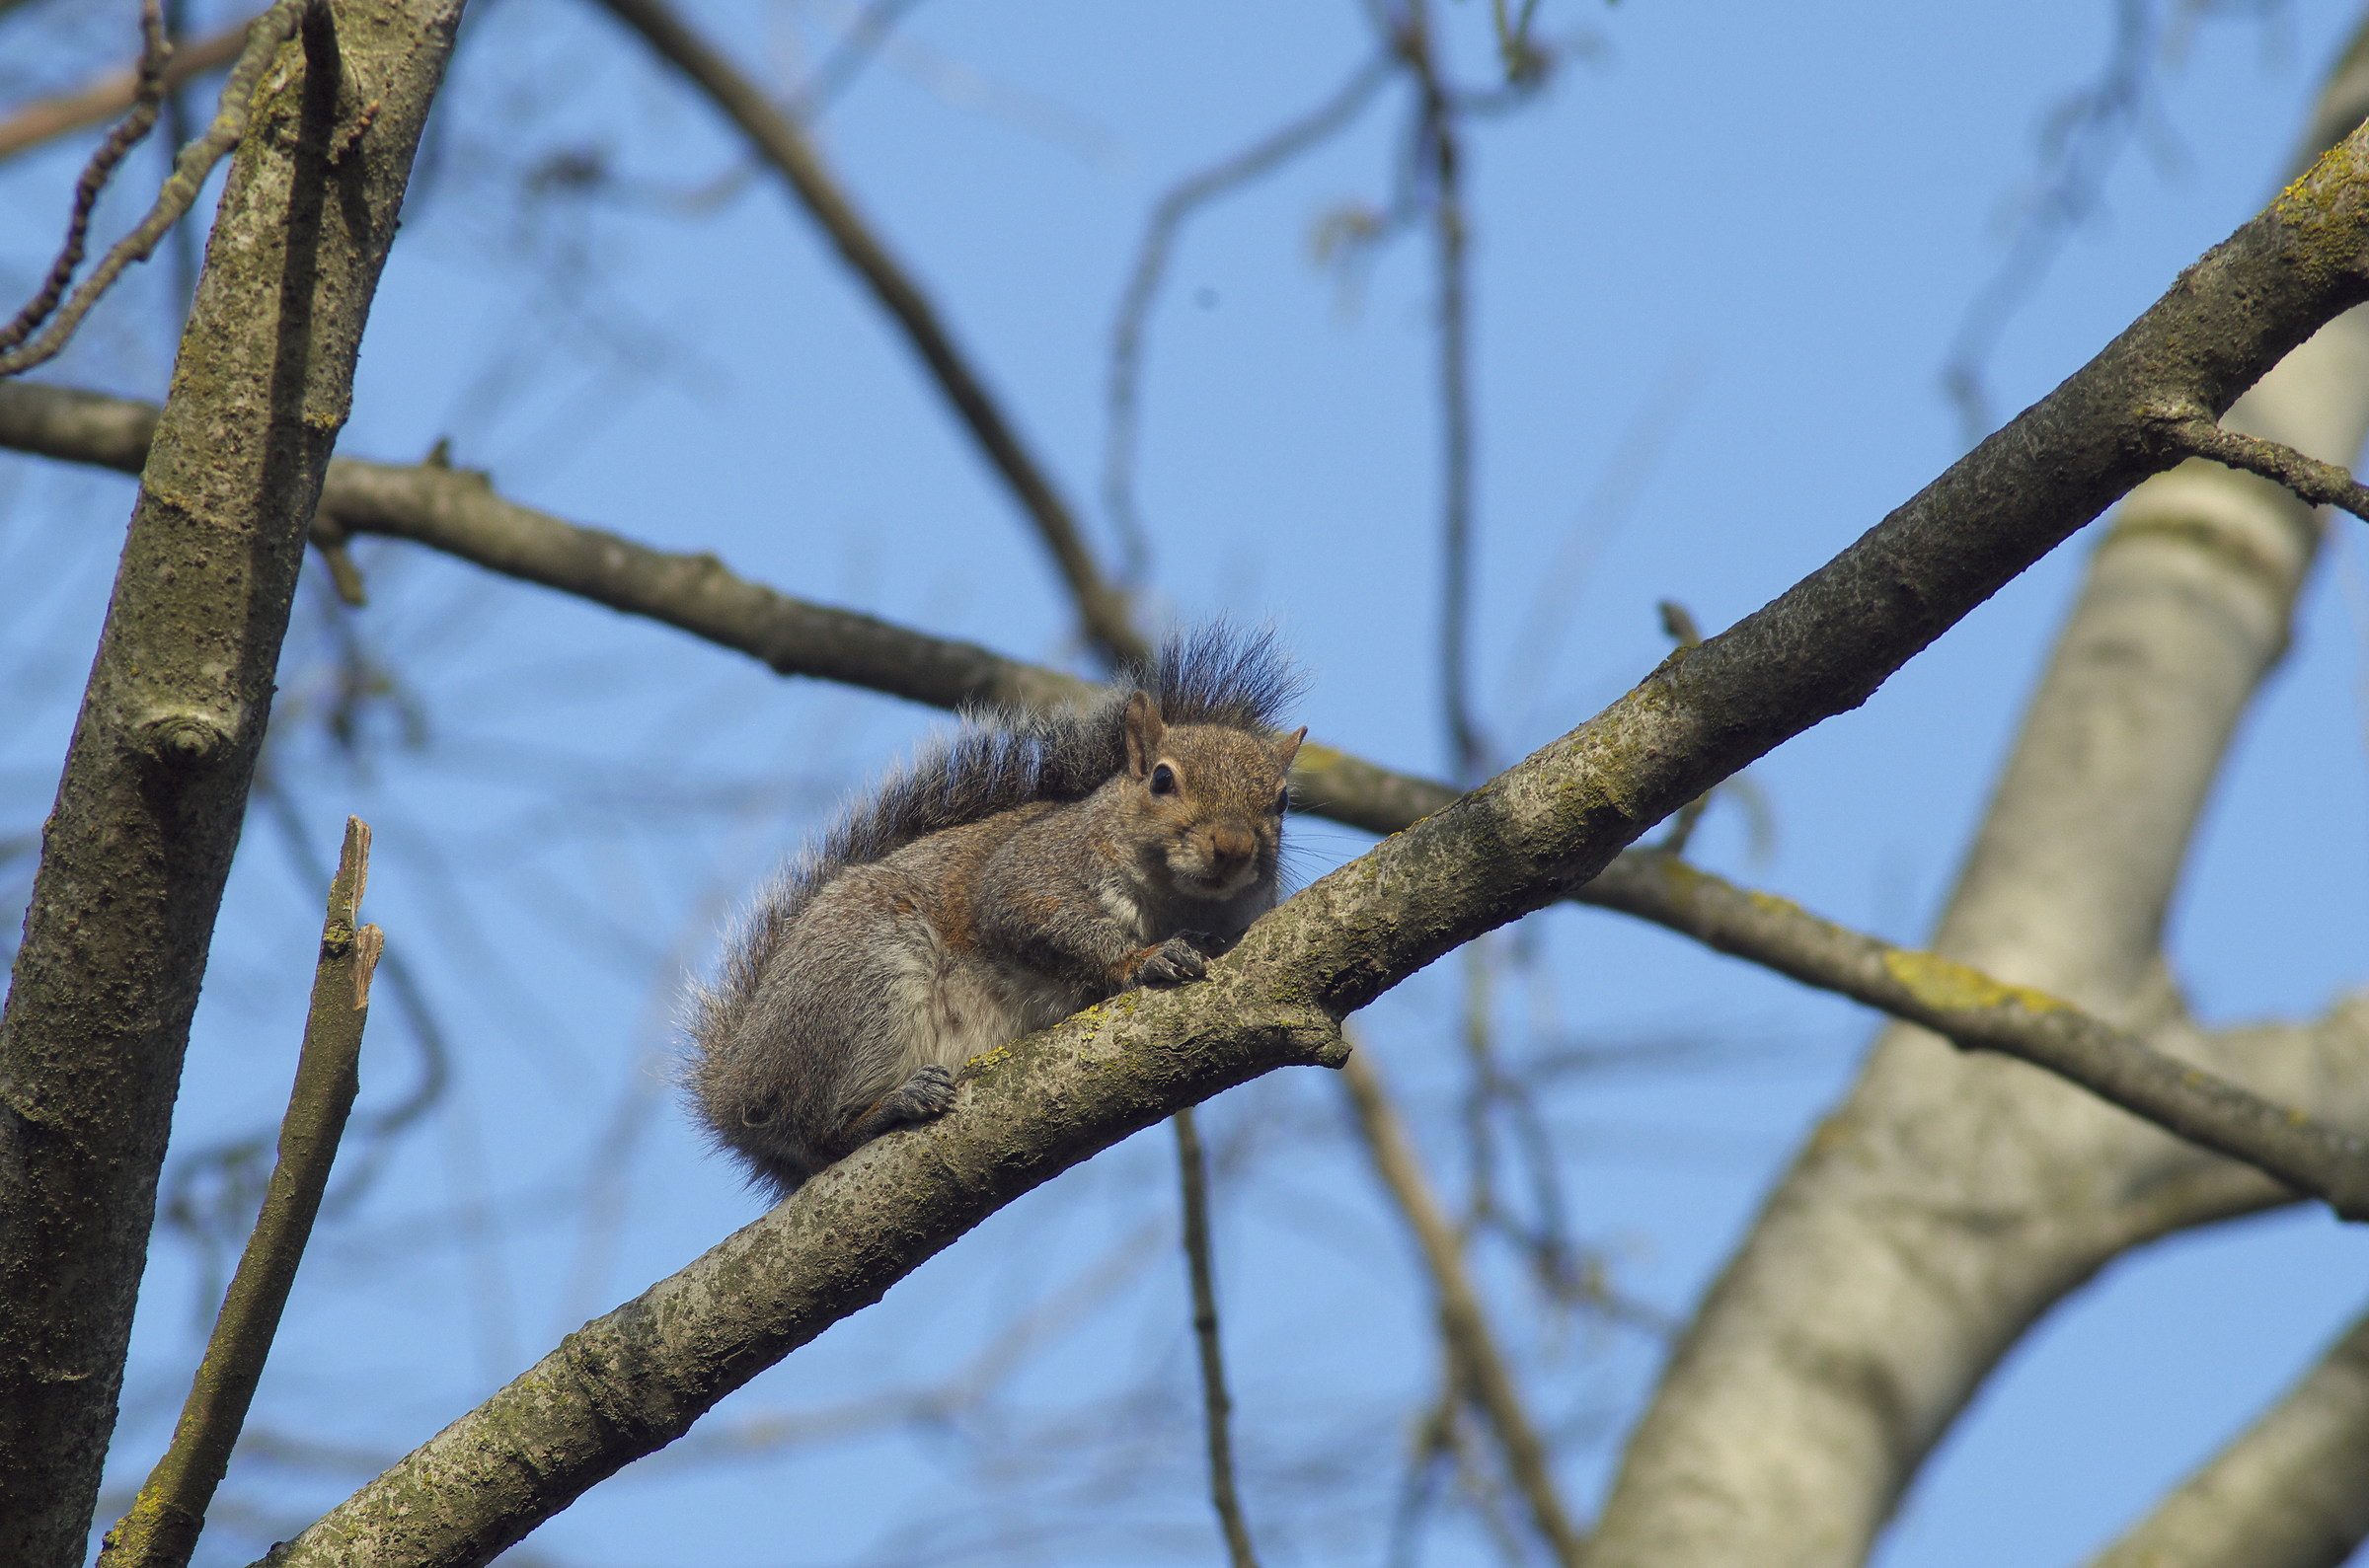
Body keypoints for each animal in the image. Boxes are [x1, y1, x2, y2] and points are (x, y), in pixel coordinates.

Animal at [685, 627, 1307, 1196]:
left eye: (1281, 801)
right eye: (1161, 779)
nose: (1233, 847)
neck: (1177, 899)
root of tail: (733, 1081)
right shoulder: (1029, 872)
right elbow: (1033, 913)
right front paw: (1148, 956)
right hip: (862, 978)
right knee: (818, 1131)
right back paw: (892, 1105)